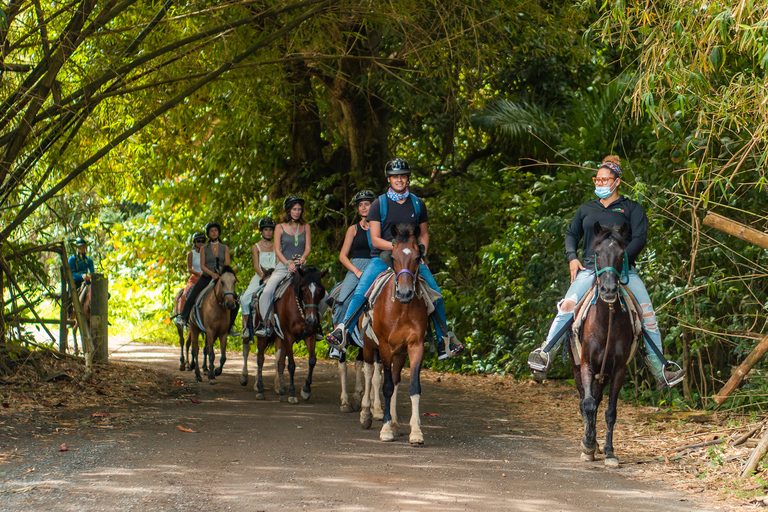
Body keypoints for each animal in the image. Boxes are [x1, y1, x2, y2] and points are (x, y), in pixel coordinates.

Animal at [244, 266, 326, 402]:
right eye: (303, 290)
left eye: (320, 291)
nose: (312, 320)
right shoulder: (288, 337)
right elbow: (291, 364)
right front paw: (292, 393)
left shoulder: (310, 336)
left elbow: (311, 361)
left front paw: (306, 390)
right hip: (262, 336)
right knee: (260, 358)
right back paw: (260, 389)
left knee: (278, 361)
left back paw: (279, 388)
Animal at [358, 224, 428, 444]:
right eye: (394, 257)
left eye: (417, 257)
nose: (404, 293)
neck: (402, 309)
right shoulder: (384, 347)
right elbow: (386, 386)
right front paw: (386, 429)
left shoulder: (415, 346)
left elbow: (413, 387)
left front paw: (416, 432)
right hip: (369, 347)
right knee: (370, 373)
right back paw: (366, 414)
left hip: (399, 353)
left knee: (396, 380)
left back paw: (396, 423)